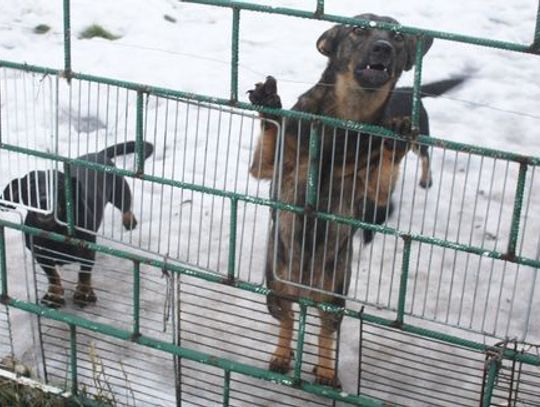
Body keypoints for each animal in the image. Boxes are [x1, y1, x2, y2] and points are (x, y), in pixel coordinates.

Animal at [249, 13, 464, 388]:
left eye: (397, 35)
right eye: (359, 30)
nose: (384, 47)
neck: (346, 116)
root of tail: (305, 294)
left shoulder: (372, 187)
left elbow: (385, 169)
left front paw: (395, 138)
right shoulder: (270, 167)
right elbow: (274, 136)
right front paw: (269, 102)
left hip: (334, 297)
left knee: (325, 333)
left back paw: (325, 371)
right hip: (276, 290)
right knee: (288, 322)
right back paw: (281, 355)